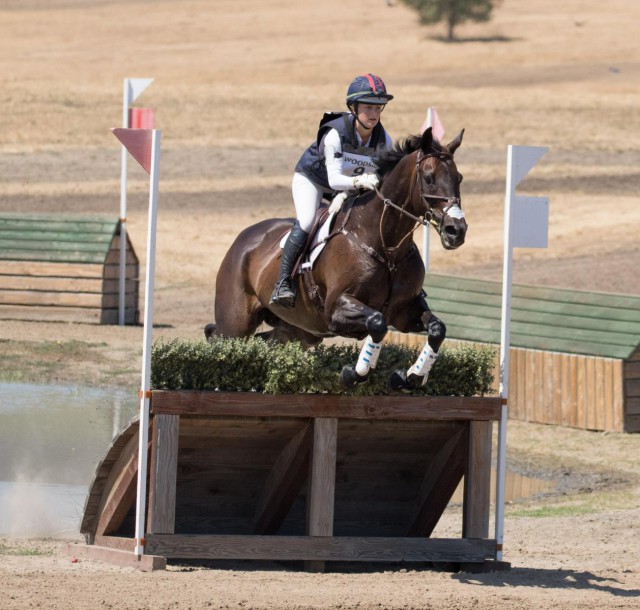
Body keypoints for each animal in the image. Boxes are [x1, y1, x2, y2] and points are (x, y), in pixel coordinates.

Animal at [208, 127, 468, 390]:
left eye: (459, 178)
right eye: (429, 178)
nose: (456, 231)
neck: (387, 246)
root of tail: (243, 240)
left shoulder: (404, 310)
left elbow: (437, 329)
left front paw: (410, 376)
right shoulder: (336, 308)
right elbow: (378, 323)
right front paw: (353, 374)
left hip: (299, 331)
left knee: (266, 341)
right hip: (235, 324)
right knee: (221, 341)